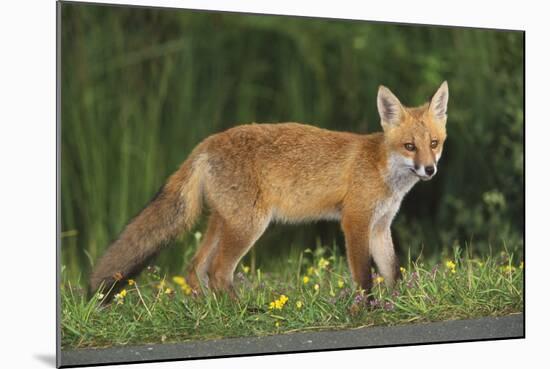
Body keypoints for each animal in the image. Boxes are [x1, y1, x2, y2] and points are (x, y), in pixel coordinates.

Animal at [90, 80, 450, 300]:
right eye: (409, 147)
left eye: (433, 144)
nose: (430, 170)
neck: (380, 168)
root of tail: (207, 142)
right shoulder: (355, 222)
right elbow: (363, 275)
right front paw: (368, 309)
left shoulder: (380, 226)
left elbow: (392, 271)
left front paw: (399, 302)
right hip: (249, 225)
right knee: (218, 272)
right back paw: (243, 312)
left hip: (224, 222)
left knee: (195, 268)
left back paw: (207, 311)